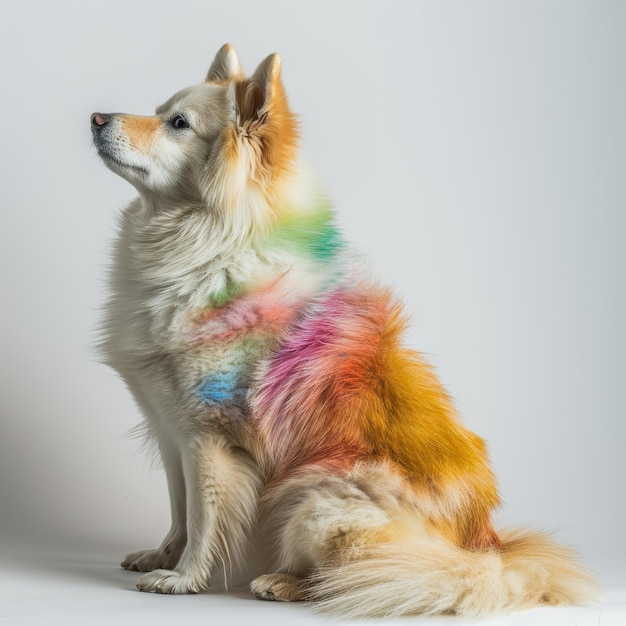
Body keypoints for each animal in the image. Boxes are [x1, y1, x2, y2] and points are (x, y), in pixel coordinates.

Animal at [91, 44, 596, 616]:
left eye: (179, 123)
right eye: (159, 111)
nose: (97, 118)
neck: (209, 248)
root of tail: (485, 553)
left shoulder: (210, 439)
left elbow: (206, 518)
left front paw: (185, 578)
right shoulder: (170, 428)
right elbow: (180, 509)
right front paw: (162, 556)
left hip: (315, 496)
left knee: (356, 577)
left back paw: (284, 582)